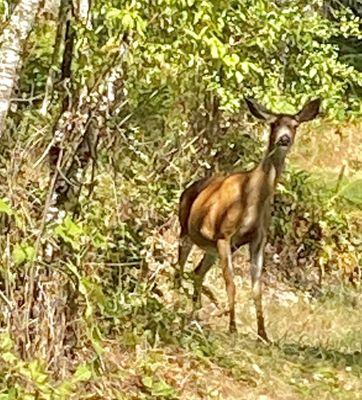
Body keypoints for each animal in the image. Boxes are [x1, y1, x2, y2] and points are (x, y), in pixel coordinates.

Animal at [175, 97, 320, 340]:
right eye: (273, 124)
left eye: (295, 125)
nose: (284, 139)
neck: (250, 199)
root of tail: (187, 189)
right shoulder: (224, 234)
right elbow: (231, 283)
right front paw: (233, 328)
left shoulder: (258, 240)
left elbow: (257, 289)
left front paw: (263, 334)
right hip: (186, 231)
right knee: (179, 268)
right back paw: (176, 305)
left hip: (211, 247)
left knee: (196, 272)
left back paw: (194, 313)